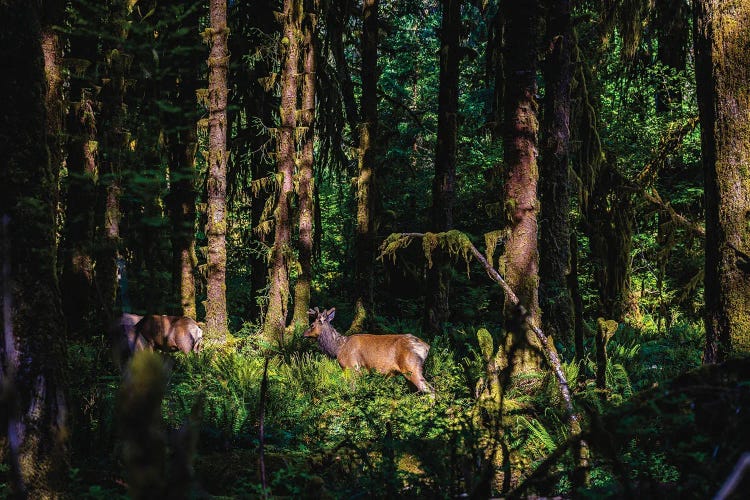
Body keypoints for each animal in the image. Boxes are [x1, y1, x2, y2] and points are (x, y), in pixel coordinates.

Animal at [304, 304, 434, 394]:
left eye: (311, 325)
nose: (303, 334)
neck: (338, 348)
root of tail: (426, 347)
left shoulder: (352, 367)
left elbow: (353, 390)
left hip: (411, 367)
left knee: (430, 390)